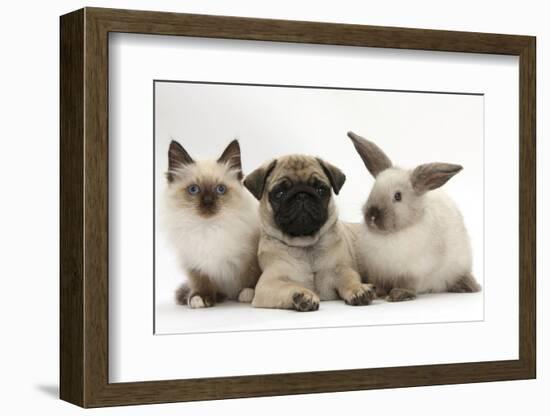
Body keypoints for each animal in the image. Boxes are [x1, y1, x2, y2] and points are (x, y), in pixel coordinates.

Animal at [163, 138, 262, 308]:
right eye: (194, 189)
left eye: (220, 189)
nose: (208, 202)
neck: (209, 229)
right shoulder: (195, 263)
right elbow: (201, 282)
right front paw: (200, 298)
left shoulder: (249, 257)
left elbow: (252, 276)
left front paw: (248, 293)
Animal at [245, 154, 378, 310]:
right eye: (280, 193)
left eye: (320, 190)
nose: (302, 195)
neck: (305, 244)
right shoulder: (268, 284)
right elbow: (289, 287)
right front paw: (304, 295)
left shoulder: (341, 270)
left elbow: (350, 280)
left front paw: (359, 289)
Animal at [350, 132, 484, 300]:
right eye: (372, 190)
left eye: (398, 196)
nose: (372, 216)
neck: (390, 235)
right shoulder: (378, 271)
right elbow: (379, 283)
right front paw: (378, 293)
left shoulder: (413, 272)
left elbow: (407, 284)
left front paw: (399, 294)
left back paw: (469, 287)